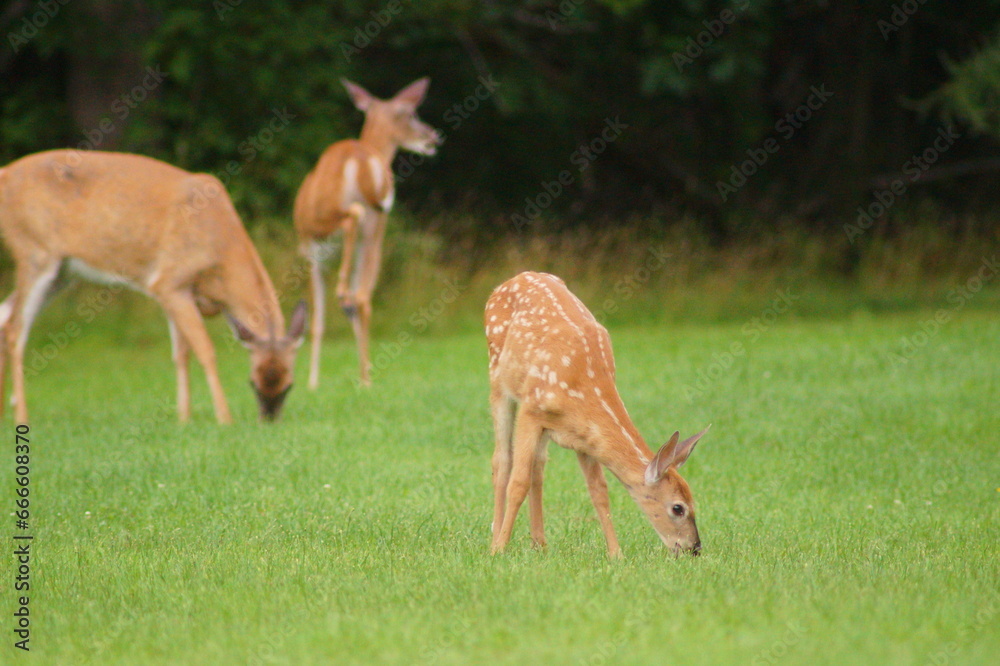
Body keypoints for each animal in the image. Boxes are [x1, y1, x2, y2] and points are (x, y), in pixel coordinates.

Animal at [0, 148, 306, 422]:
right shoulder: (170, 281)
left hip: (63, 272)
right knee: (16, 329)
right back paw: (22, 417)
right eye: (252, 381)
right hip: (35, 253)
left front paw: (184, 418)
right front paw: (224, 419)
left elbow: (181, 354)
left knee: (6, 315)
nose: (269, 418)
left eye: (289, 383)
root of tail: (5, 174)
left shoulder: (177, 293)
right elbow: (205, 351)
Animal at [292, 78, 442, 390]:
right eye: (410, 113)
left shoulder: (311, 250)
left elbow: (318, 316)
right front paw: (316, 381)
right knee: (360, 292)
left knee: (357, 284)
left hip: (337, 224)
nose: (433, 138)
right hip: (368, 226)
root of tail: (360, 159)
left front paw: (313, 381)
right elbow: (319, 318)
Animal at [486, 270, 712, 556]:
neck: (585, 388)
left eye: (693, 501)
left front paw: (616, 554)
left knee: (539, 466)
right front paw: (500, 549)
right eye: (678, 508)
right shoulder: (531, 410)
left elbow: (599, 490)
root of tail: (515, 277)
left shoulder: (585, 436)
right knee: (502, 460)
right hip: (498, 380)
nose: (694, 548)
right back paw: (495, 538)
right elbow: (518, 481)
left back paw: (540, 543)